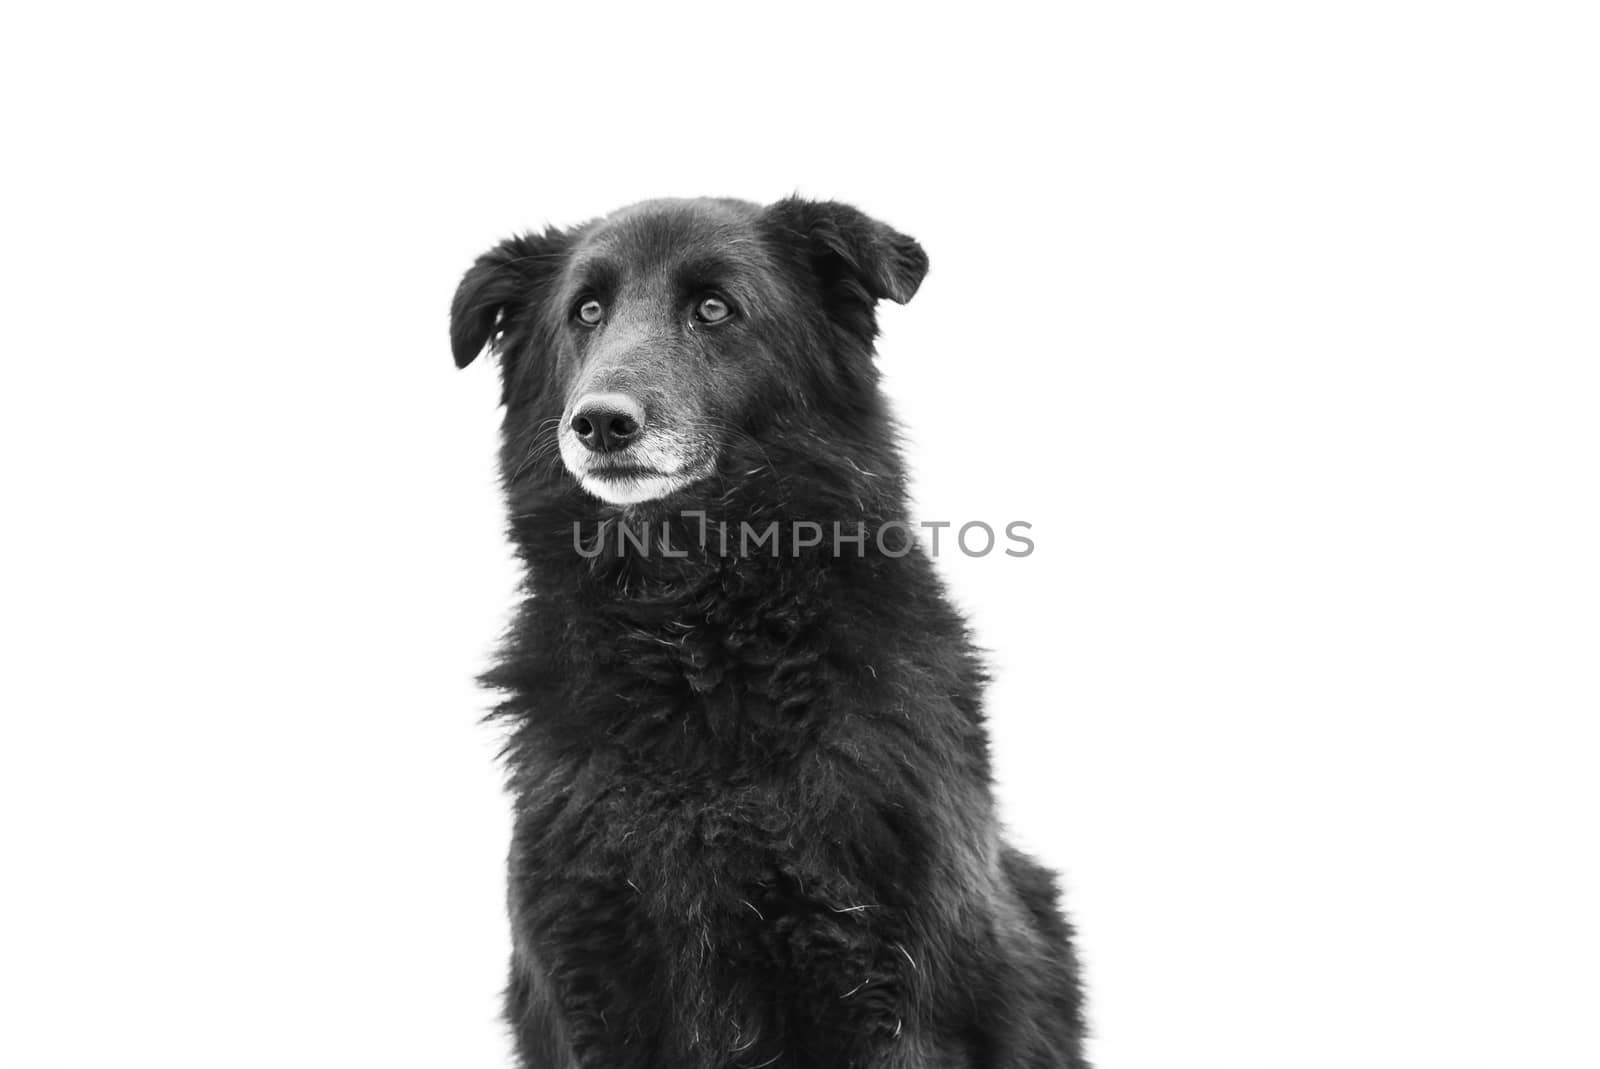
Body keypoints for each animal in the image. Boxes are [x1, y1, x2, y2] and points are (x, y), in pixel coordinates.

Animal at [457, 196, 1094, 1062]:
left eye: (715, 308)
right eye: (585, 312)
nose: (599, 423)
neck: (695, 646)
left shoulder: (889, 992)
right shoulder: (588, 981)